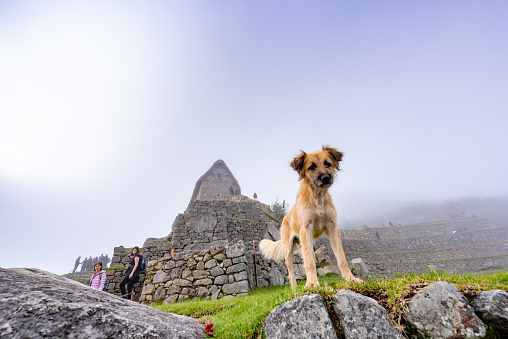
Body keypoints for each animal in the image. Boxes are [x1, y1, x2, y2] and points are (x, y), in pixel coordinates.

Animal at [262, 146, 362, 290]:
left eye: (328, 164)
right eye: (311, 167)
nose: (326, 177)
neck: (318, 198)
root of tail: (285, 218)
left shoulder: (332, 227)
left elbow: (341, 258)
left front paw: (351, 279)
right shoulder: (306, 229)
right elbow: (309, 262)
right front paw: (312, 284)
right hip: (288, 250)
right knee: (291, 272)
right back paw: (294, 290)